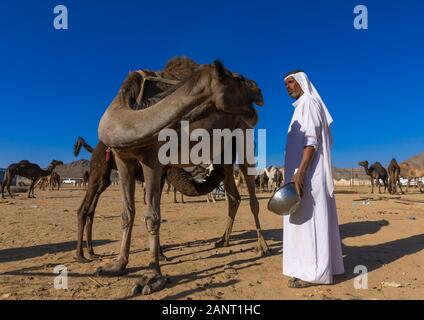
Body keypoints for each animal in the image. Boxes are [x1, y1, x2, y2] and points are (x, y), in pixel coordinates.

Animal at [96, 58, 266, 294]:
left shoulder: (152, 158)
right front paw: (117, 265)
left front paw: (152, 277)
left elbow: (152, 217)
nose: (258, 88)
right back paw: (222, 241)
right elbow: (127, 213)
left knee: (251, 195)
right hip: (224, 150)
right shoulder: (122, 159)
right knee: (233, 196)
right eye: (239, 80)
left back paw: (262, 247)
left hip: (244, 134)